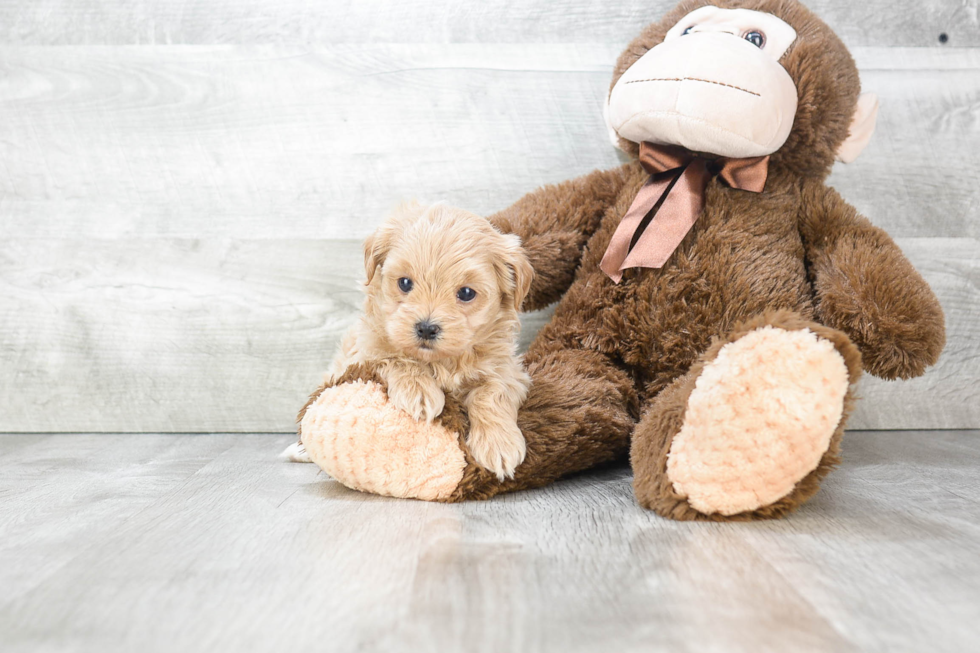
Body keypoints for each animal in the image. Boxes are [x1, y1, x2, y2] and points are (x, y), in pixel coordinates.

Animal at [284, 202, 532, 478]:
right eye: (404, 283)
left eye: (467, 293)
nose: (426, 328)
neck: (440, 361)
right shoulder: (367, 352)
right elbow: (395, 358)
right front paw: (420, 391)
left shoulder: (508, 369)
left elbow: (492, 392)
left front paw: (499, 444)